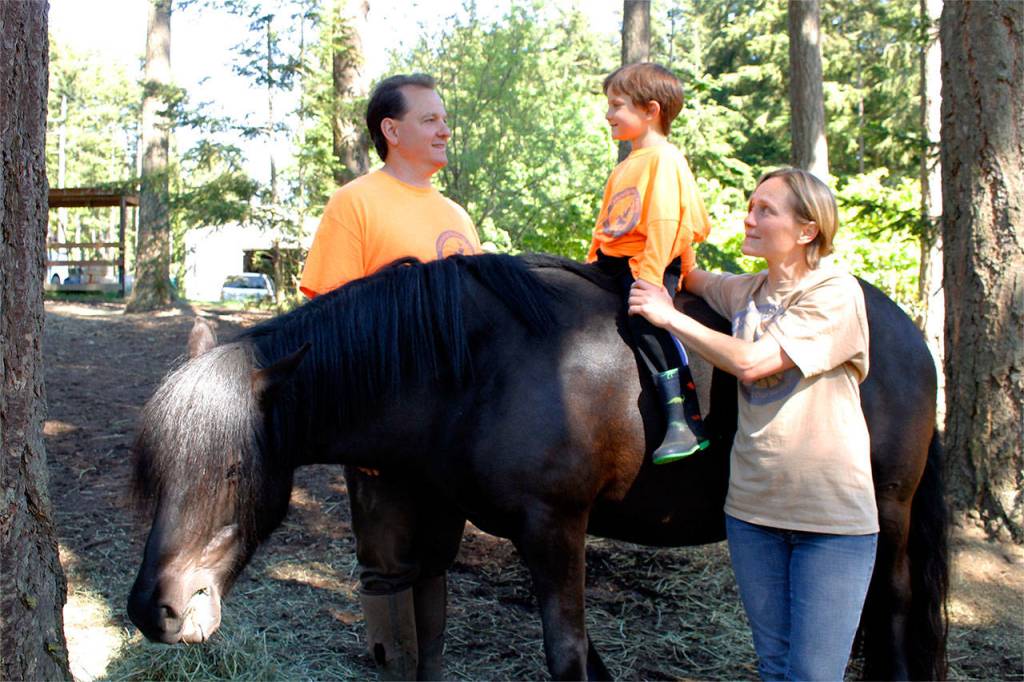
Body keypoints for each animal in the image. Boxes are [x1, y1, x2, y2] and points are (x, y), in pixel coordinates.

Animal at [127, 253, 948, 680]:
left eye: (234, 472)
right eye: (158, 473)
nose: (151, 609)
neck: (471, 368)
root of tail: (906, 332)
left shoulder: (556, 531)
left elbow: (566, 655)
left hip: (888, 515)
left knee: (895, 611)